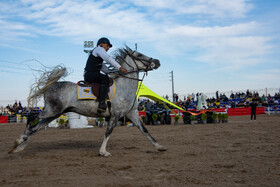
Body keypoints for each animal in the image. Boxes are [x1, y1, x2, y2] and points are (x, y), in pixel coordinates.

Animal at [9, 45, 166, 156]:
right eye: (139, 55)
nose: (157, 61)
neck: (124, 85)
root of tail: (51, 85)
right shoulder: (115, 115)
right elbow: (108, 132)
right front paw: (103, 152)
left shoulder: (131, 114)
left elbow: (144, 130)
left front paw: (159, 147)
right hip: (51, 111)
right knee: (32, 117)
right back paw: (19, 140)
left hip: (55, 113)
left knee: (37, 127)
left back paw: (19, 147)